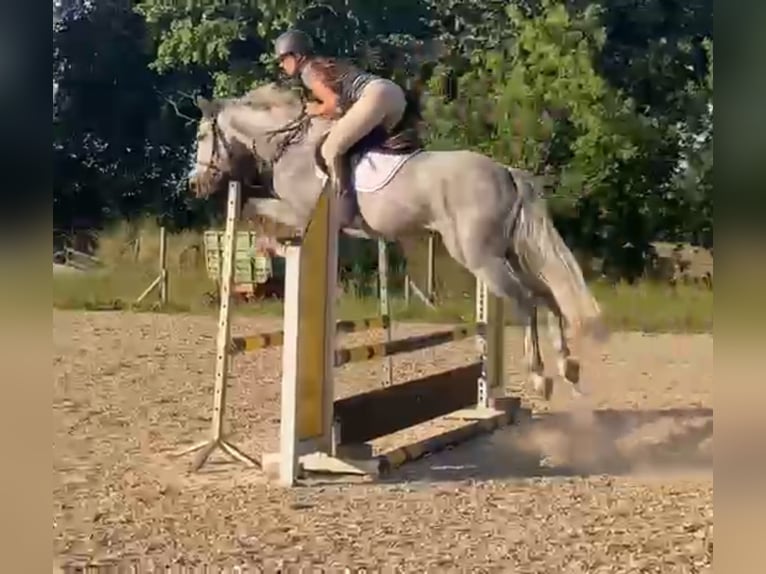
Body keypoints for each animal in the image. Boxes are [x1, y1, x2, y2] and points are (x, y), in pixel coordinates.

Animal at [188, 82, 607, 399]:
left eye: (203, 136)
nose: (196, 184)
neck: (290, 146)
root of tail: (505, 171)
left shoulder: (300, 209)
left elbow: (257, 208)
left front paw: (270, 247)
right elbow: (256, 207)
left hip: (479, 257)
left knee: (526, 300)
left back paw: (540, 376)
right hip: (510, 252)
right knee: (548, 295)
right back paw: (567, 365)